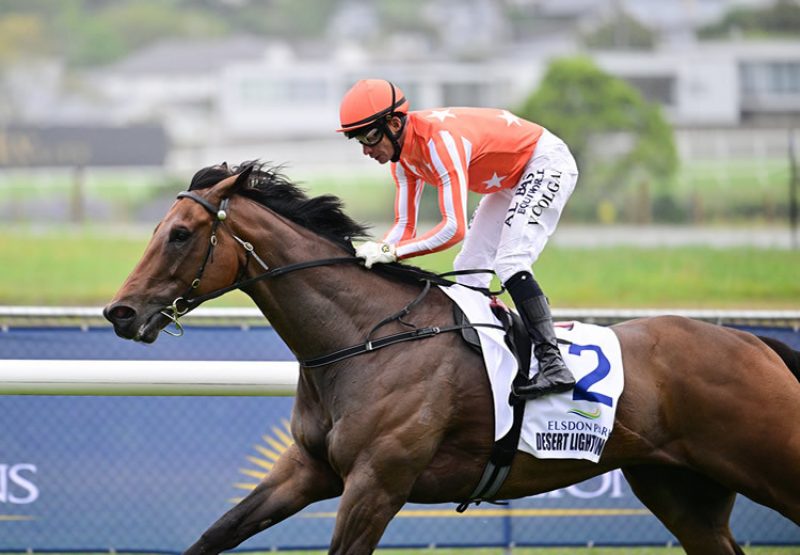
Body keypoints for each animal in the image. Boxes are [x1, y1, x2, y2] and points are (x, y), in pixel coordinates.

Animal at [104, 162, 800, 555]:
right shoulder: (309, 471)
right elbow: (215, 535)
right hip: (681, 492)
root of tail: (752, 340)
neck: (365, 339)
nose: (120, 313)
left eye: (180, 234)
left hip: (768, 462)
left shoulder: (377, 484)